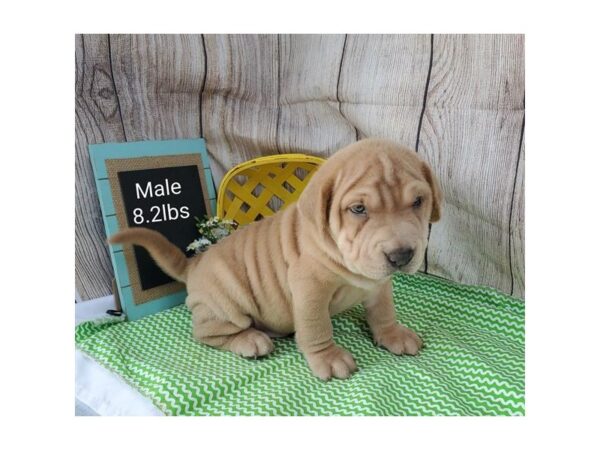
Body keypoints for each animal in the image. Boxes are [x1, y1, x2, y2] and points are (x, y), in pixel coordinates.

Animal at [110, 138, 442, 380]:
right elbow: (317, 327)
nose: (401, 255)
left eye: (418, 201)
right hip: (227, 304)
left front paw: (392, 334)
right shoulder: (309, 288)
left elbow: (384, 312)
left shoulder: (379, 285)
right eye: (358, 209)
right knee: (206, 333)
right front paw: (328, 357)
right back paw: (249, 340)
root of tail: (195, 264)